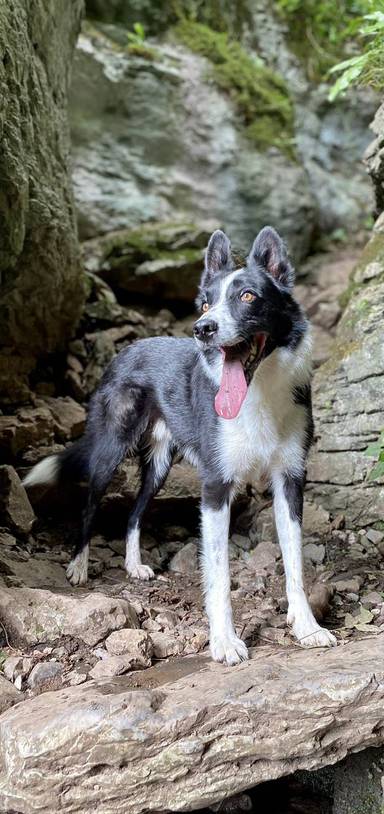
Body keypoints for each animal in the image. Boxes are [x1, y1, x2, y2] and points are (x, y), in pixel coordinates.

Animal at [23, 226, 336, 668]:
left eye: (248, 296)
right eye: (205, 303)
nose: (202, 328)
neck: (258, 394)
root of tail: (127, 349)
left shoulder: (290, 479)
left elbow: (294, 564)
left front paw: (307, 627)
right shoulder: (215, 487)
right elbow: (219, 575)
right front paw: (225, 642)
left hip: (159, 466)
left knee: (134, 513)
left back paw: (134, 565)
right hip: (110, 450)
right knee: (89, 506)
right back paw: (79, 566)